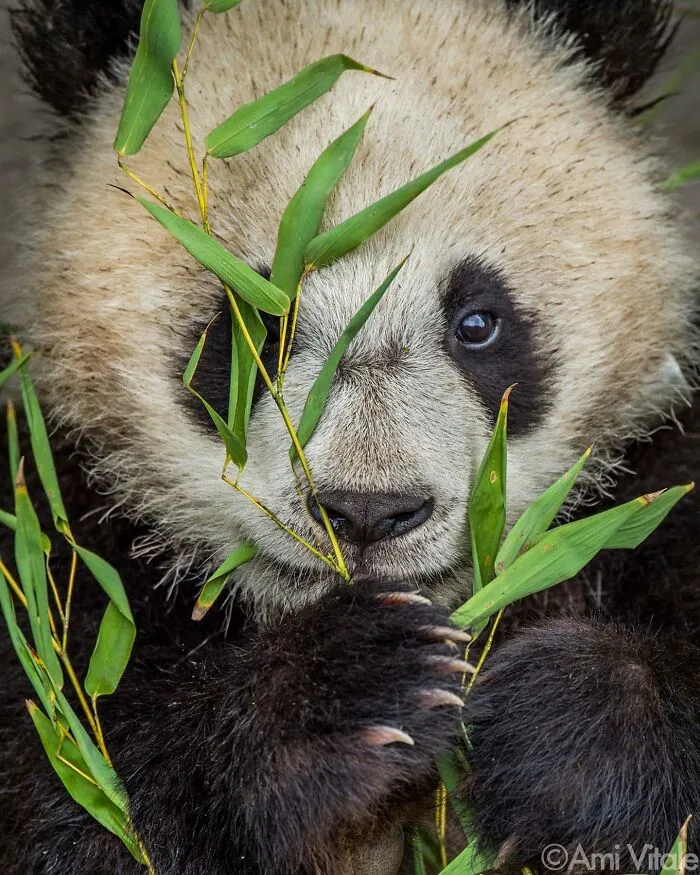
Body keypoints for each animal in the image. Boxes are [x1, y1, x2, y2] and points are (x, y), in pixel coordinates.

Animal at [0, 0, 698, 873]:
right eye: (259, 326)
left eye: (478, 322)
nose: (367, 512)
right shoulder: (57, 536)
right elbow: (82, 782)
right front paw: (348, 689)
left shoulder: (658, 479)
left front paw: (564, 725)